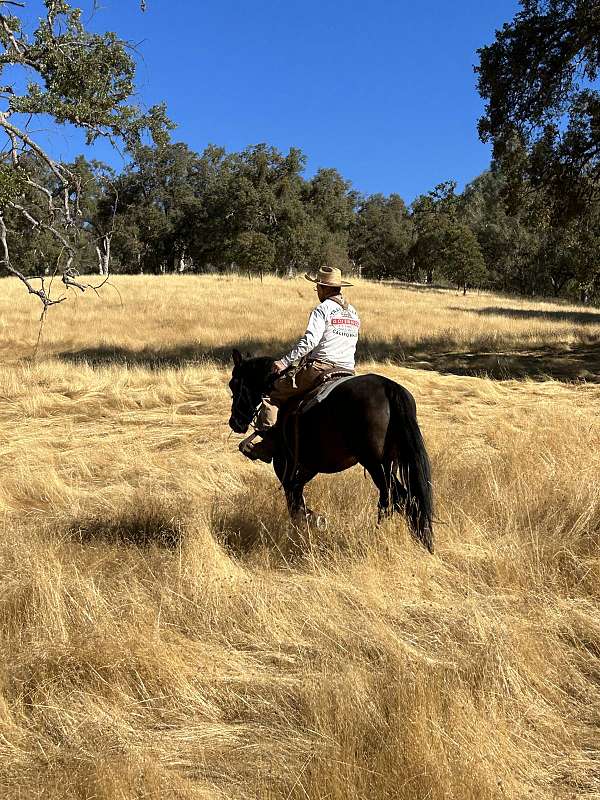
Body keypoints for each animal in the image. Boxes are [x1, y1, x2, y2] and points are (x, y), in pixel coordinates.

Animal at [227, 346, 434, 552]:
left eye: (234, 384)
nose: (235, 422)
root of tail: (388, 387)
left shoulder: (285, 462)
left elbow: (292, 498)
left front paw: (310, 523)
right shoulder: (309, 466)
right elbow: (296, 493)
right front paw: (312, 520)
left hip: (376, 465)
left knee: (399, 498)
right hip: (389, 463)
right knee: (392, 500)